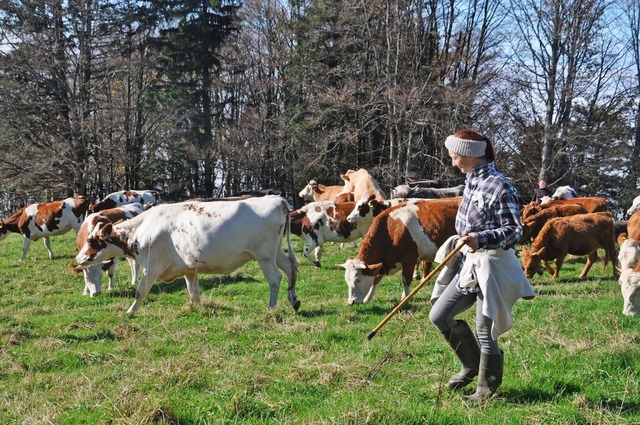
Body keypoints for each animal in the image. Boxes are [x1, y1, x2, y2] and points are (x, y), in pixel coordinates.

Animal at [74, 195, 298, 312]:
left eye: (92, 241)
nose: (78, 258)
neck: (143, 228)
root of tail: (276, 198)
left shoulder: (151, 267)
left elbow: (140, 291)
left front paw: (130, 311)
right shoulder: (190, 269)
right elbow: (194, 293)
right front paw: (198, 309)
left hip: (264, 256)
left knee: (275, 278)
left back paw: (271, 308)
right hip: (277, 252)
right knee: (291, 269)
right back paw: (294, 301)